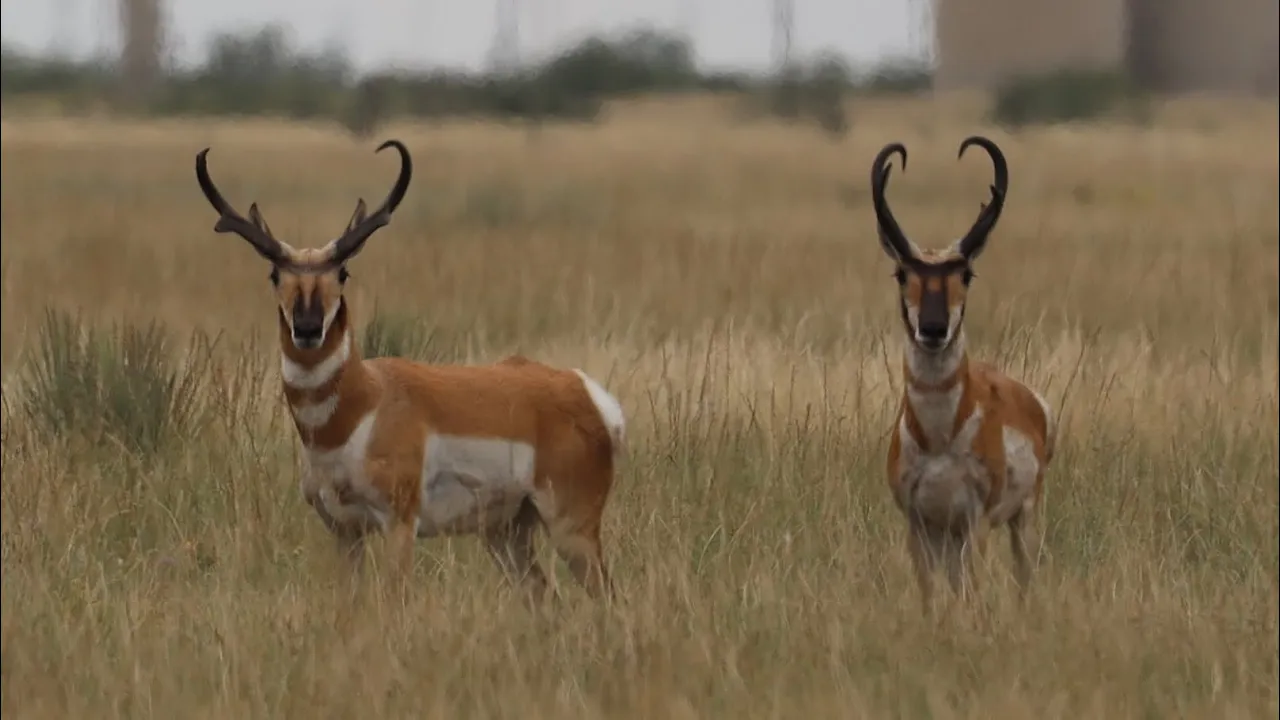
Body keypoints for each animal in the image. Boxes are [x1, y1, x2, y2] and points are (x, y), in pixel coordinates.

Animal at [193, 140, 625, 603]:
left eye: (343, 271)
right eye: (275, 273)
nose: (307, 328)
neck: (363, 404)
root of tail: (583, 390)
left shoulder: (399, 524)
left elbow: (393, 599)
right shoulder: (344, 530)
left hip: (569, 527)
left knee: (607, 598)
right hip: (506, 532)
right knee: (544, 596)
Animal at [869, 136, 1056, 609]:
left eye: (966, 273)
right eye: (902, 272)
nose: (933, 328)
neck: (939, 439)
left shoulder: (976, 522)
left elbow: (971, 590)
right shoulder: (921, 524)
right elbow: (931, 594)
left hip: (1023, 519)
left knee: (1025, 576)